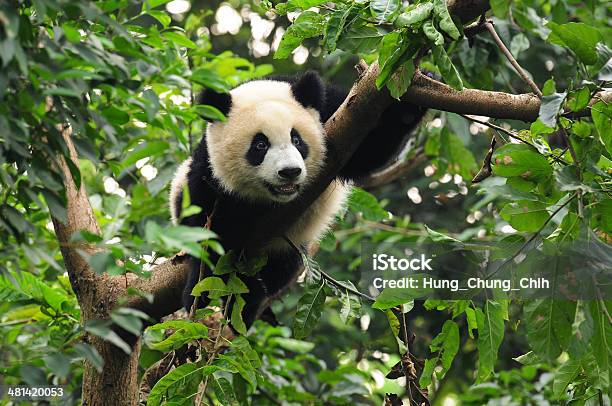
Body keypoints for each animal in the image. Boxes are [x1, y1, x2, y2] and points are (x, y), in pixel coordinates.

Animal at [167, 71, 426, 328]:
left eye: (297, 139)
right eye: (260, 145)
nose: (289, 171)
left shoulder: (335, 114)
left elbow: (368, 150)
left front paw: (415, 91)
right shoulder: (209, 173)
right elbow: (212, 234)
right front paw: (218, 294)